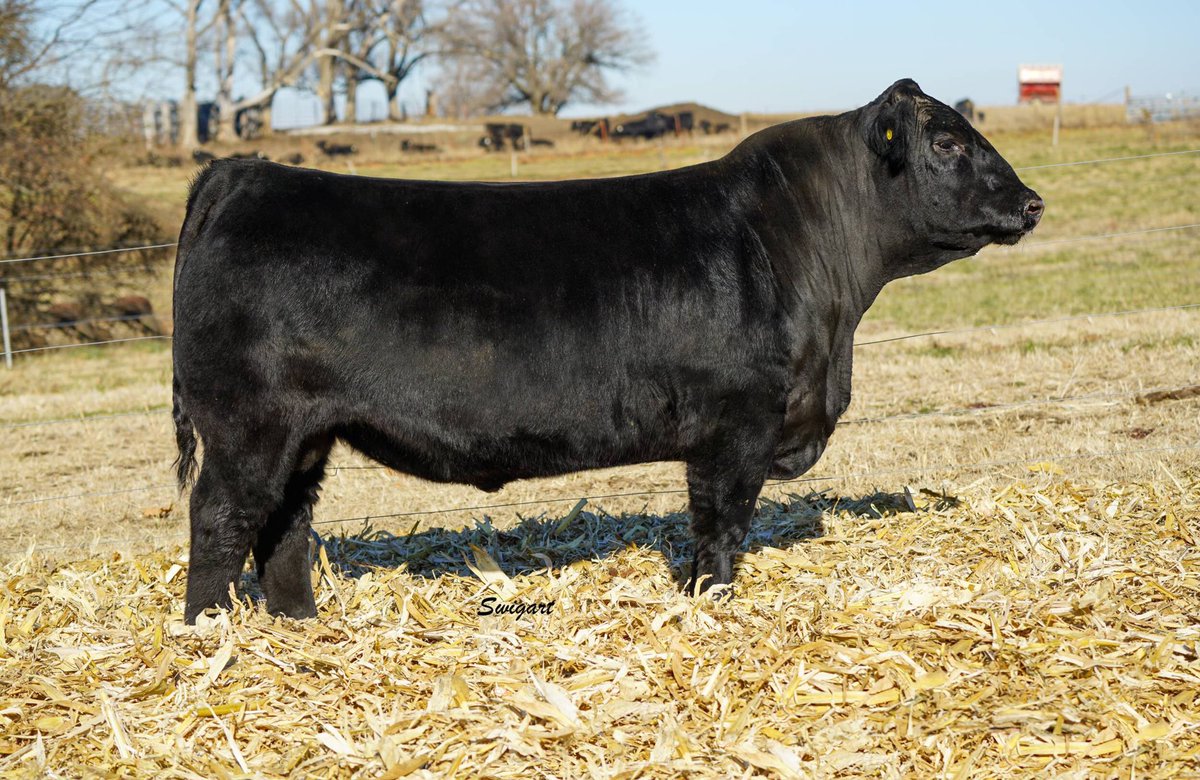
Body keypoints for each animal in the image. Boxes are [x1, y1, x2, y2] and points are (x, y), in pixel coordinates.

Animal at [172, 79, 1043, 623]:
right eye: (946, 142)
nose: (1032, 202)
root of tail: (244, 173)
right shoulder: (737, 425)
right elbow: (721, 527)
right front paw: (710, 606)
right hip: (248, 426)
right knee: (221, 521)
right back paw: (212, 638)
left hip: (306, 434)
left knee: (284, 526)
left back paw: (301, 627)